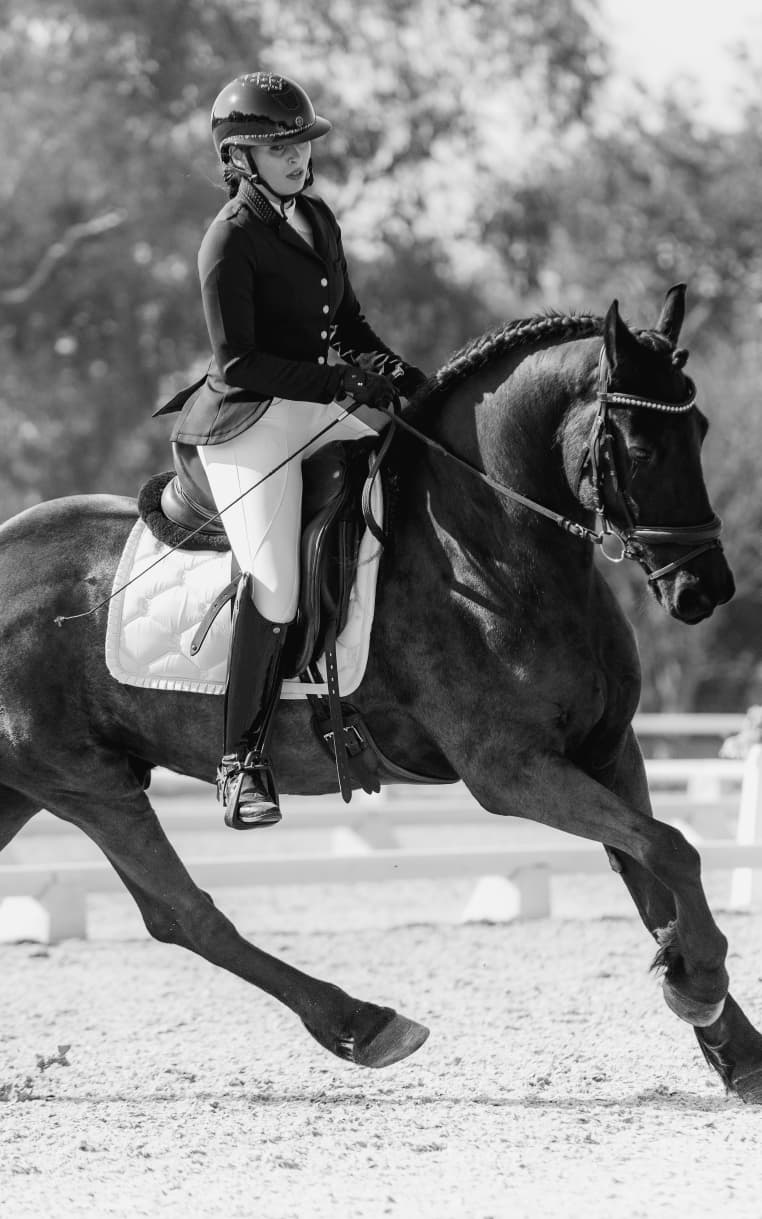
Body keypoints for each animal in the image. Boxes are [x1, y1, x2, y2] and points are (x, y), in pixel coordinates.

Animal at [2, 284, 761, 1100]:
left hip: (28, 789)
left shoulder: (609, 749)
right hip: (87, 783)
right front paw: (700, 980)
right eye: (643, 448)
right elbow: (673, 847)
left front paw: (728, 1038)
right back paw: (363, 1024)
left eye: (701, 430)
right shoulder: (509, 771)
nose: (705, 589)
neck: (490, 544)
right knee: (182, 913)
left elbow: (651, 865)